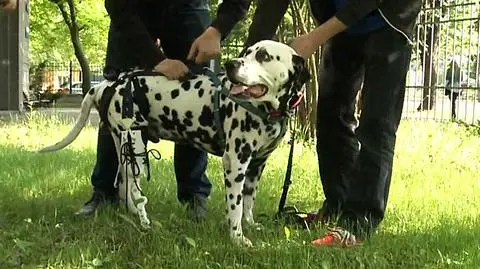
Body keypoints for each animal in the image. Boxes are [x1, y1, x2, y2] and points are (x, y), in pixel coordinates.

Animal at [40, 38, 312, 246]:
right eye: (246, 53)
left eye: (264, 56)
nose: (231, 63)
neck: (267, 110)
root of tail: (108, 83)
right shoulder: (236, 163)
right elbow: (234, 207)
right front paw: (237, 238)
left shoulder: (256, 166)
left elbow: (247, 202)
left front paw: (251, 225)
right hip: (134, 146)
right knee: (132, 188)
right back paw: (144, 222)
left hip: (126, 146)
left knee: (124, 185)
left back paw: (134, 217)